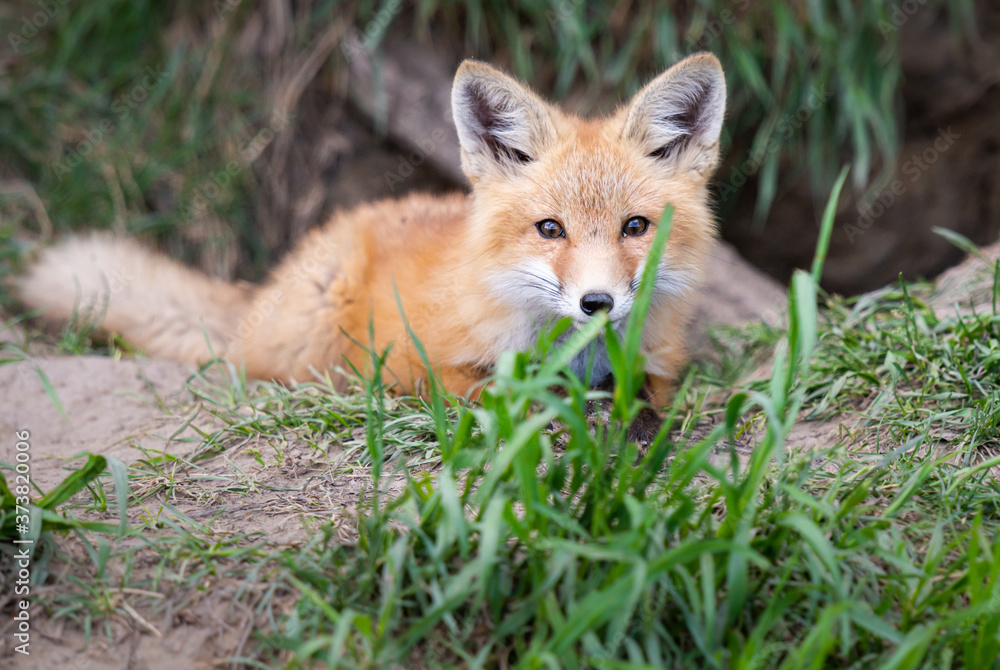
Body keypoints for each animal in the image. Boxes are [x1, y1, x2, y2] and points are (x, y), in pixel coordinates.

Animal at [16, 53, 726, 409]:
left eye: (635, 227)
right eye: (550, 229)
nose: (596, 303)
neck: (577, 357)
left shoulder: (658, 366)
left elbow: (649, 397)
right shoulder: (428, 361)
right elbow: (491, 392)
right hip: (312, 335)